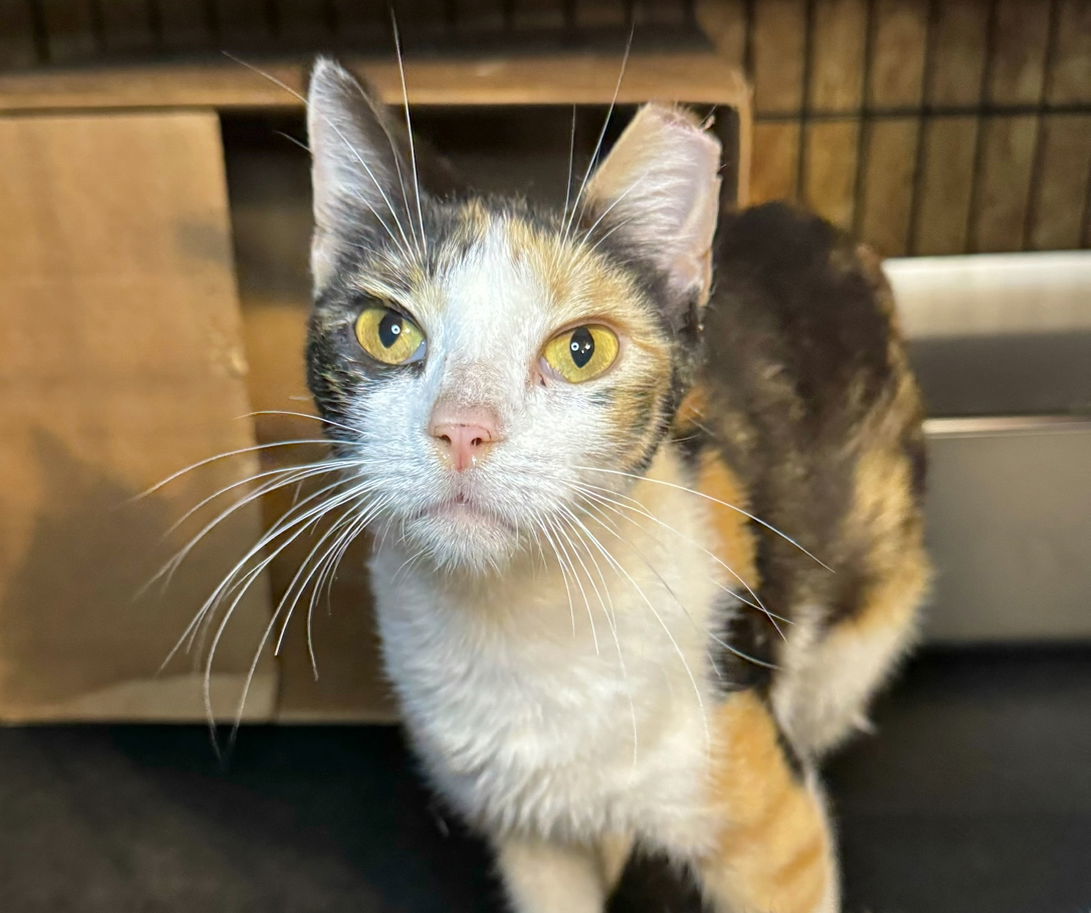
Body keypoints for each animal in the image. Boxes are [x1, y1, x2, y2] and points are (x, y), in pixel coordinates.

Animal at [301, 58, 929, 911]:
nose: (462, 428)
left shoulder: (768, 818)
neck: (521, 624)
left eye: (582, 348)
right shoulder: (526, 833)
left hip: (861, 623)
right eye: (387, 330)